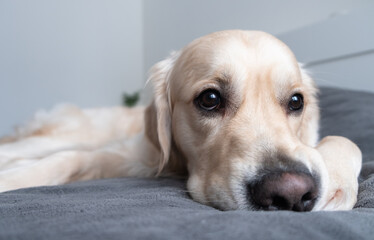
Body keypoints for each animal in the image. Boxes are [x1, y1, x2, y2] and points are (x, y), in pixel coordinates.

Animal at [0, 30, 362, 212]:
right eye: (210, 99)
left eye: (296, 102)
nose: (288, 194)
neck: (179, 166)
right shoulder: (136, 157)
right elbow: (67, 159)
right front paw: (13, 178)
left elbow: (348, 142)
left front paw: (336, 180)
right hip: (60, 135)